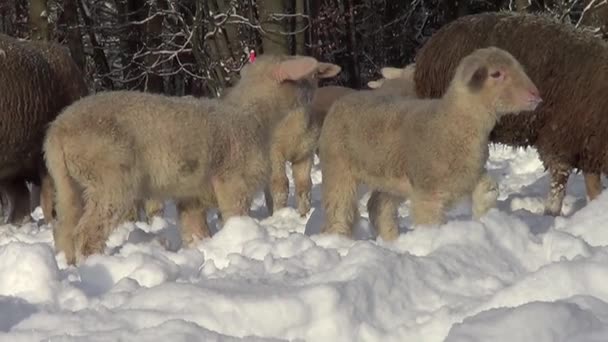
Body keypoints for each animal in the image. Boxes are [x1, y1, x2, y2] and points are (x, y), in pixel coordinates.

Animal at [44, 54, 342, 264]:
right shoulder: (233, 180)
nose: (315, 93)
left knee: (64, 228)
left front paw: (202, 249)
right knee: (86, 233)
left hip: (70, 183)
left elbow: (195, 231)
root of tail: (57, 131)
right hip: (110, 179)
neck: (253, 115)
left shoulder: (191, 194)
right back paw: (93, 264)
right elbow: (235, 217)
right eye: (311, 75)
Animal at [266, 63, 418, 218]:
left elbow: (304, 186)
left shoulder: (304, 153)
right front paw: (279, 214)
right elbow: (280, 184)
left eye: (315, 74)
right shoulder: (274, 152)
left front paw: (304, 216)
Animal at [318, 46, 540, 240]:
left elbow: (488, 190)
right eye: (496, 74)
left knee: (379, 208)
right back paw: (338, 241)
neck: (449, 123)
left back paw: (393, 241)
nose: (536, 95)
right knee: (339, 210)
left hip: (390, 178)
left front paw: (485, 220)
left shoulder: (469, 175)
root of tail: (347, 97)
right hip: (338, 168)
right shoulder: (428, 194)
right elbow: (430, 224)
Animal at [414, 11, 608, 216]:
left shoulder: (588, 144)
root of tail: (431, 44)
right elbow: (559, 182)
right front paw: (551, 214)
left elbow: (593, 185)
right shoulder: (560, 138)